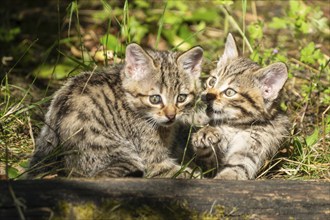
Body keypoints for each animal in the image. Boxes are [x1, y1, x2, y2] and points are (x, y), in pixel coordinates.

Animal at [28, 43, 204, 179]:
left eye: (181, 98)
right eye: (155, 99)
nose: (171, 115)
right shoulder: (153, 162)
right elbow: (182, 173)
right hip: (120, 155)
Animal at [192, 33, 290, 180]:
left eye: (229, 92)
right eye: (212, 81)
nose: (208, 95)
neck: (237, 126)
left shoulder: (252, 150)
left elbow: (234, 170)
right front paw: (205, 133)